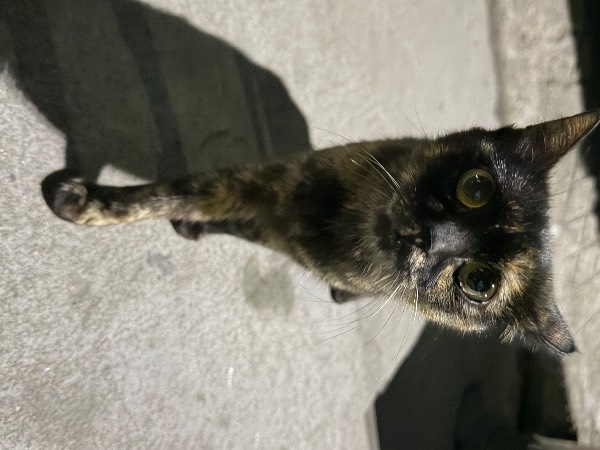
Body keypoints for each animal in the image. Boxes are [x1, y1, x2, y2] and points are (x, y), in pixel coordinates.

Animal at [42, 110, 600, 355]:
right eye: (476, 188)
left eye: (479, 282)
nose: (432, 235)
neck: (343, 229)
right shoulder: (270, 181)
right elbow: (174, 193)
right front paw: (91, 204)